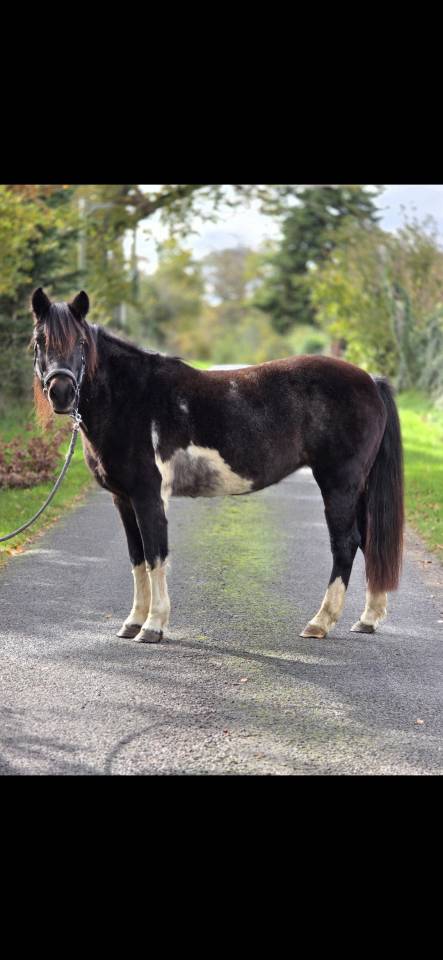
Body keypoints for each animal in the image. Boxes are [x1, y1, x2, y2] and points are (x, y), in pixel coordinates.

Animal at [31, 287, 404, 643]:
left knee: (345, 543)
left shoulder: (149, 496)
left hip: (339, 483)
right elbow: (137, 558)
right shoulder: (123, 498)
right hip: (357, 486)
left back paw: (320, 623)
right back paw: (367, 619)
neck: (132, 399)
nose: (61, 392)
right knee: (368, 539)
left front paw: (153, 626)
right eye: (40, 340)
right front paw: (133, 622)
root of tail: (371, 381)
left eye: (80, 342)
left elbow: (155, 556)